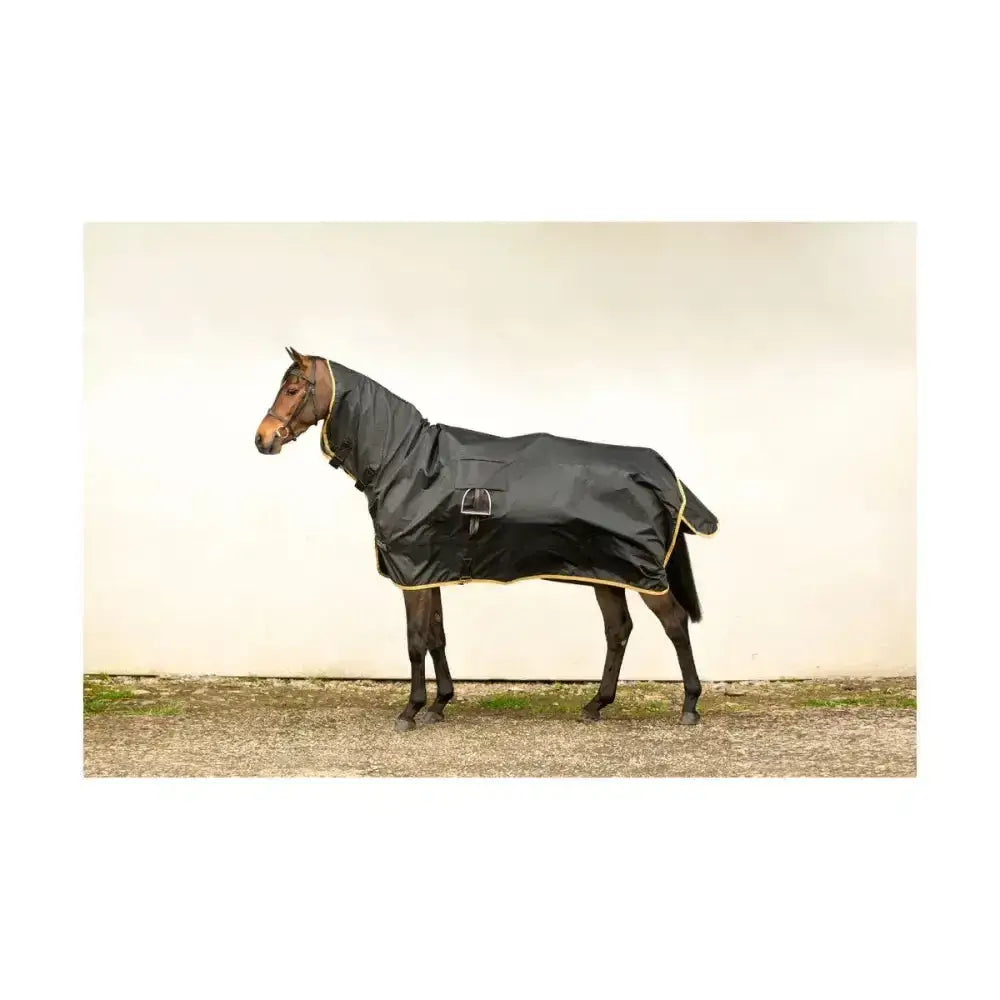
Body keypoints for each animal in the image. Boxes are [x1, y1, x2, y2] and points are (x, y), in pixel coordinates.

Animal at [255, 347, 718, 732]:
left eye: (292, 388)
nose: (263, 439)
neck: (404, 462)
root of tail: (662, 474)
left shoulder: (413, 575)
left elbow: (415, 642)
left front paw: (410, 711)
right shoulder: (430, 573)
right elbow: (437, 637)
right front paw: (440, 704)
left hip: (642, 574)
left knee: (674, 624)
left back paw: (689, 706)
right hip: (607, 573)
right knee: (618, 631)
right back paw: (595, 705)